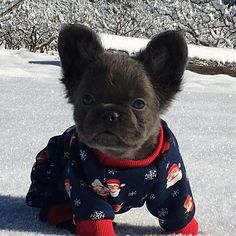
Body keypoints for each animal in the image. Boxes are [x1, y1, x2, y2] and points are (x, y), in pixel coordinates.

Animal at [26, 24, 198, 236]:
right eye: (87, 99)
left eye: (139, 104)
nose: (109, 113)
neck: (123, 160)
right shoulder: (82, 184)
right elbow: (94, 215)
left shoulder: (173, 184)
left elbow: (176, 212)